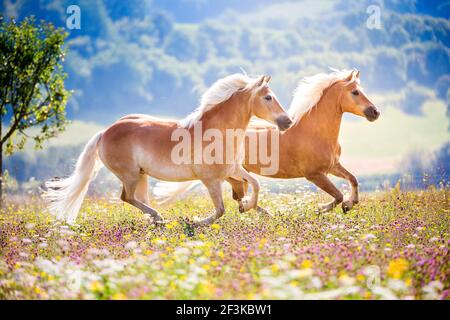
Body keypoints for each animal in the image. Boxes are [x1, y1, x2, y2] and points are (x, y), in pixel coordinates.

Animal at [44, 74, 294, 226]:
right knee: (127, 197)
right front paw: (194, 221)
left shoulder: (232, 170)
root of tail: (105, 132)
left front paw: (249, 206)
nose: (288, 122)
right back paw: (159, 218)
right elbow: (220, 210)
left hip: (141, 175)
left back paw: (157, 220)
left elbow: (255, 184)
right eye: (268, 97)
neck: (217, 133)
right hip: (129, 174)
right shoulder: (210, 179)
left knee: (137, 198)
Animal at [155, 68, 380, 212]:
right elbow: (338, 195)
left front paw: (350, 204)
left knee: (239, 197)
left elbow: (353, 179)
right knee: (239, 197)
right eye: (355, 92)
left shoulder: (332, 166)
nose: (375, 112)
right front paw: (323, 209)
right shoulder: (314, 175)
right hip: (232, 174)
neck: (315, 133)